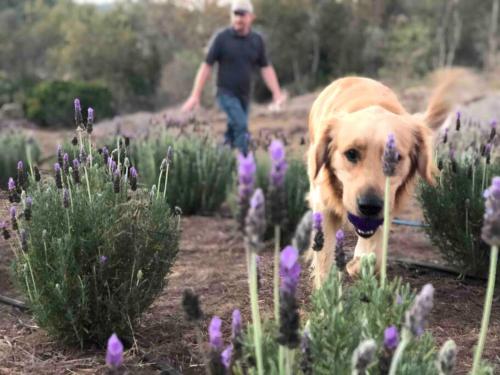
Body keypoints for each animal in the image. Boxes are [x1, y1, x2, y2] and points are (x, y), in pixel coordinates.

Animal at [306, 70, 470, 288]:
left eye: (395, 157)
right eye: (351, 154)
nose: (369, 206)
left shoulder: (386, 210)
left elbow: (373, 256)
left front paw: (357, 264)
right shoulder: (323, 206)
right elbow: (324, 257)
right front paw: (326, 292)